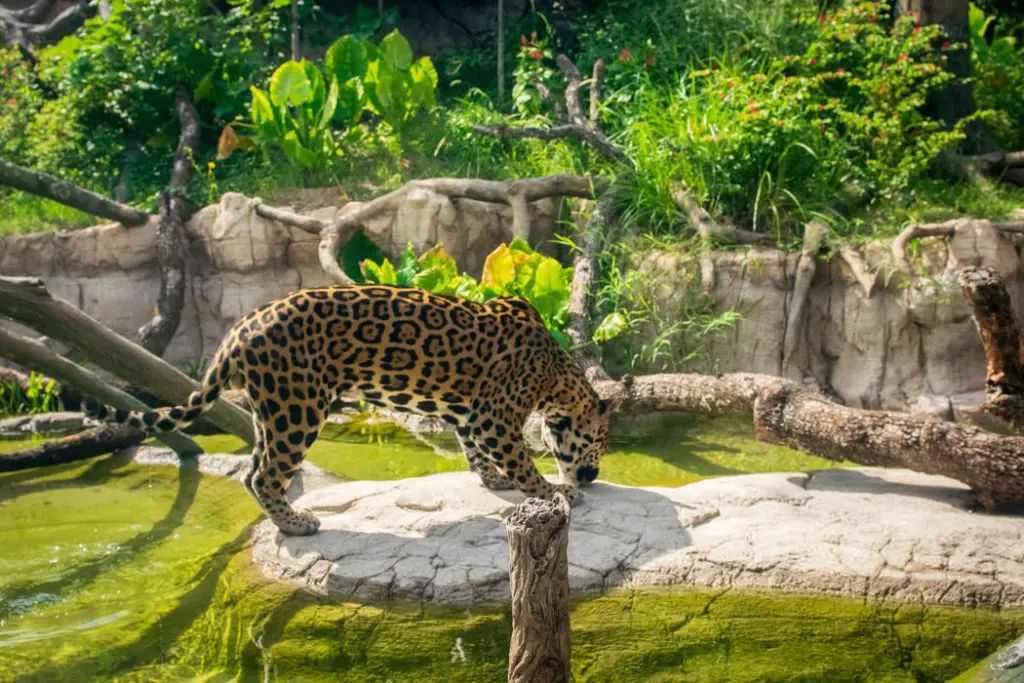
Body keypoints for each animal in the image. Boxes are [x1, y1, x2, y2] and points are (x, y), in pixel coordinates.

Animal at [85, 284, 615, 536]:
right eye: (602, 441)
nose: (592, 475)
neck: (557, 376)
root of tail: (238, 329)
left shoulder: (469, 413)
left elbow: (472, 448)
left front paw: (495, 479)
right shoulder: (494, 416)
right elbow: (523, 461)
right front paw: (556, 491)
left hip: (269, 410)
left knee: (252, 470)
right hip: (298, 408)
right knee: (266, 474)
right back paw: (298, 525)